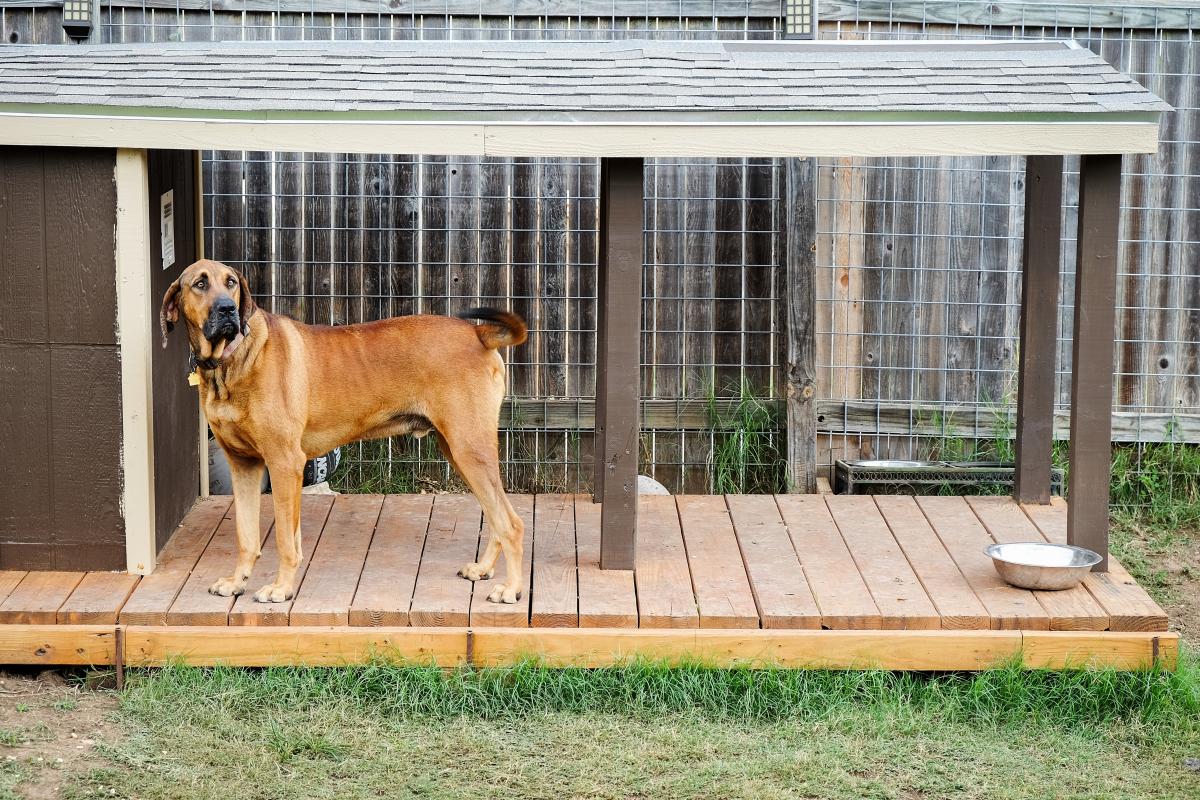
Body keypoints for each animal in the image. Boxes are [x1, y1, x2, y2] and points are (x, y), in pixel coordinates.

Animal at [159, 260, 525, 604]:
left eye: (231, 282)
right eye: (200, 284)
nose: (227, 310)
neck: (229, 362)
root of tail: (478, 333)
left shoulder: (284, 463)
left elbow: (284, 539)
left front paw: (281, 588)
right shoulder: (244, 466)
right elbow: (247, 536)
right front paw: (237, 582)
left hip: (468, 448)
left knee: (511, 523)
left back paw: (511, 589)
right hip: (459, 451)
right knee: (496, 517)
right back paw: (484, 569)